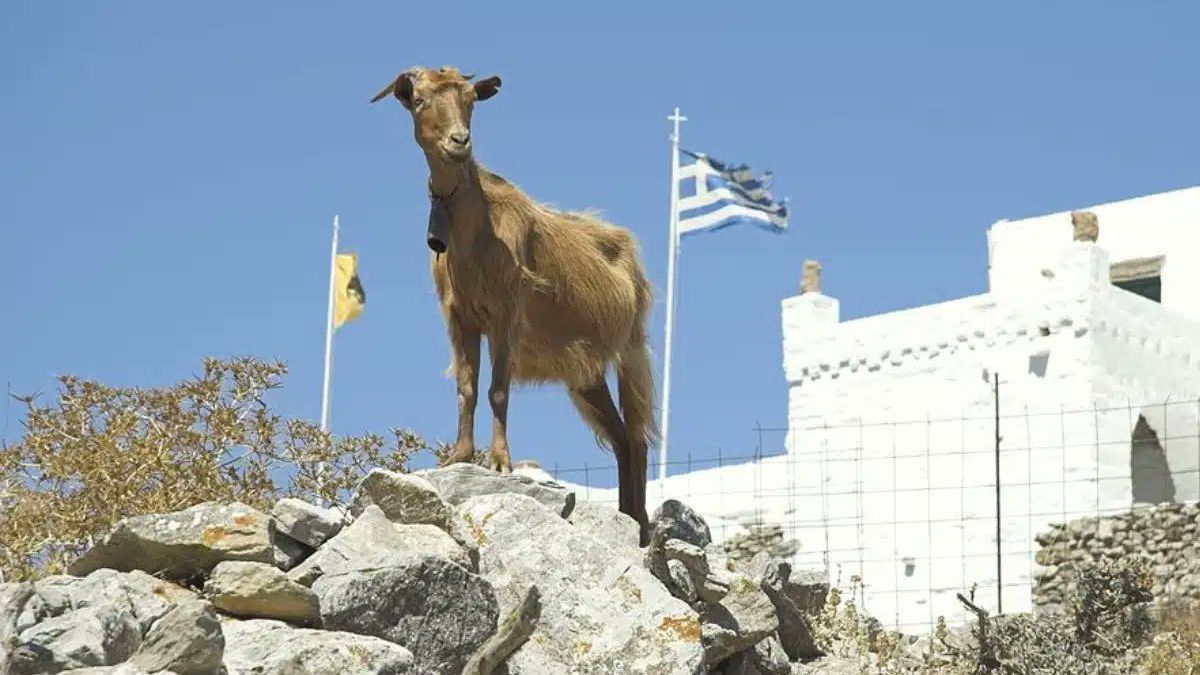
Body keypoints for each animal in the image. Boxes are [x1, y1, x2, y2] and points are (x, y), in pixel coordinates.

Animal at [372, 66, 657, 540]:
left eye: (471, 99)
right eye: (420, 99)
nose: (459, 141)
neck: (474, 232)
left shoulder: (506, 315)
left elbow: (497, 390)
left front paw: (501, 461)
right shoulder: (460, 319)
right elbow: (466, 387)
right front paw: (459, 455)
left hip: (630, 348)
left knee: (637, 435)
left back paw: (643, 524)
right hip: (587, 374)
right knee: (620, 437)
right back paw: (627, 515)